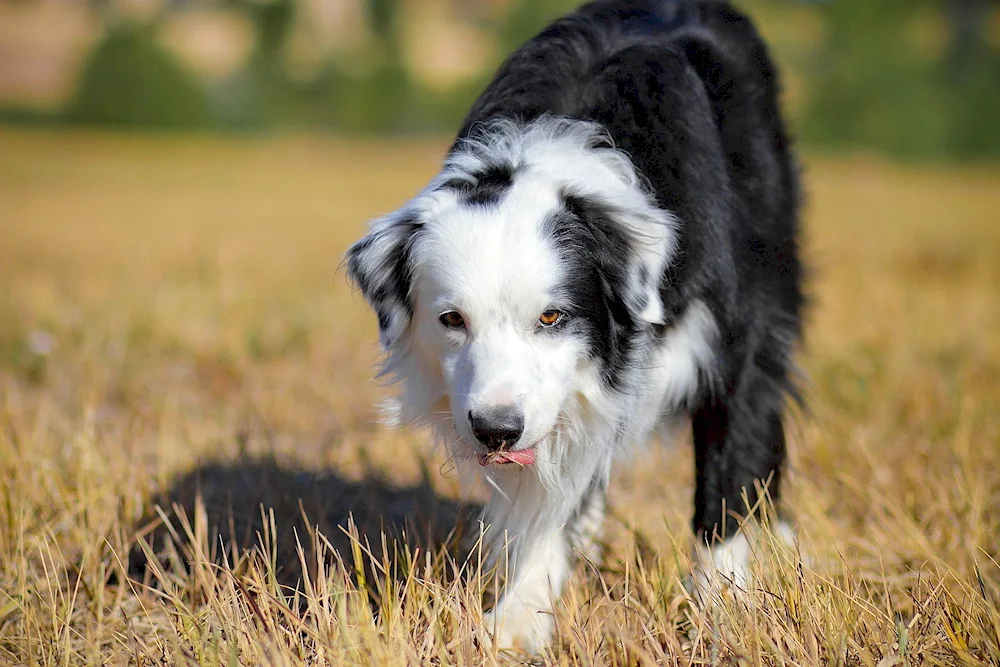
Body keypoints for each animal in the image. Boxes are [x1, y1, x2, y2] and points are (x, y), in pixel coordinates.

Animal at [348, 0, 800, 648]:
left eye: (552, 316)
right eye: (452, 319)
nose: (496, 431)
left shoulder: (732, 338)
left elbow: (729, 467)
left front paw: (728, 609)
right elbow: (546, 498)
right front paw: (517, 620)